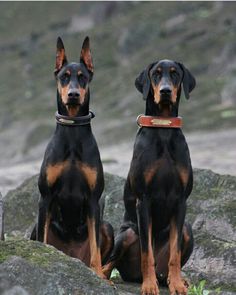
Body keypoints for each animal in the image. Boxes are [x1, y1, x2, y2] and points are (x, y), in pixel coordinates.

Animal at [103, 59, 195, 294]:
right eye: (156, 74)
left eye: (175, 73)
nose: (165, 91)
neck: (163, 129)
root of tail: (133, 276)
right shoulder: (143, 200)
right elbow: (147, 253)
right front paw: (149, 285)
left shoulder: (181, 201)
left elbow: (174, 254)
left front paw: (177, 284)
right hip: (127, 234)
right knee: (110, 264)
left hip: (187, 231)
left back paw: (175, 280)